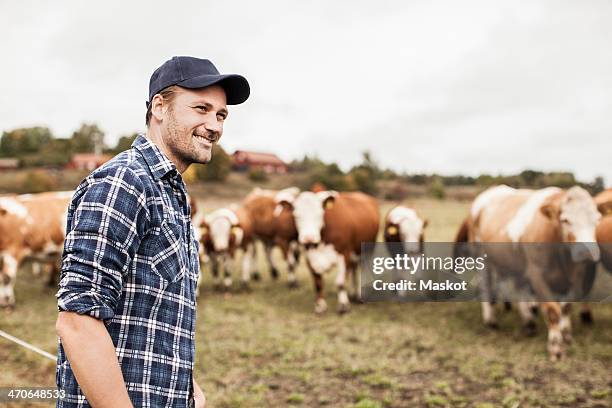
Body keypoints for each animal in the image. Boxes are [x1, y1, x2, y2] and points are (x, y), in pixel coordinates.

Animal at [462, 185, 600, 360]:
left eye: (597, 219)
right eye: (565, 220)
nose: (588, 253)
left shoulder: (576, 276)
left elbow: (566, 307)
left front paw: (566, 336)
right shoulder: (537, 275)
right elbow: (552, 310)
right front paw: (556, 349)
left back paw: (528, 323)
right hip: (481, 255)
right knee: (486, 285)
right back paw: (491, 320)